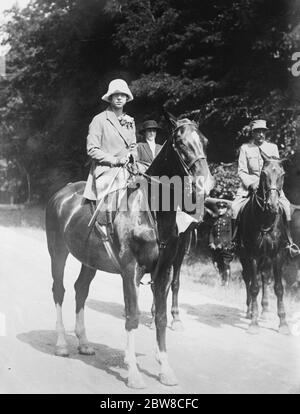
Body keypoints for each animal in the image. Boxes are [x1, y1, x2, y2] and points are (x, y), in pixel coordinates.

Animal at [45, 115, 213, 388]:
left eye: (204, 141)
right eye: (180, 142)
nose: (205, 183)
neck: (149, 210)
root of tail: (60, 195)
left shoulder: (163, 272)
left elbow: (161, 317)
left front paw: (165, 369)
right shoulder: (130, 271)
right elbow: (132, 316)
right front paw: (133, 373)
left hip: (89, 261)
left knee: (80, 290)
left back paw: (84, 343)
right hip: (57, 252)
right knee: (59, 290)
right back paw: (61, 344)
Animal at [237, 152, 290, 334]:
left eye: (282, 175)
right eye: (263, 174)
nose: (272, 204)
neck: (266, 218)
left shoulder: (278, 255)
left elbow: (279, 288)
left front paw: (283, 324)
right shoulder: (252, 255)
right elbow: (254, 287)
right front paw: (253, 323)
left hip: (266, 258)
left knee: (265, 278)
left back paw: (265, 311)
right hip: (244, 256)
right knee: (248, 279)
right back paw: (249, 311)